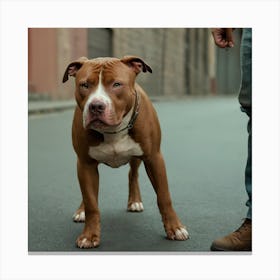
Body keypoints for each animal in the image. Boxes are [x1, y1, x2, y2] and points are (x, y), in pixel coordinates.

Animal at [63, 55, 189, 248]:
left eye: (117, 84)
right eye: (84, 85)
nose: (96, 106)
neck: (113, 130)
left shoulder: (154, 158)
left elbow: (164, 196)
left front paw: (175, 228)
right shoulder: (85, 163)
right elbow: (91, 202)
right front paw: (89, 235)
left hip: (137, 158)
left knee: (133, 174)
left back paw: (135, 201)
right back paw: (81, 210)